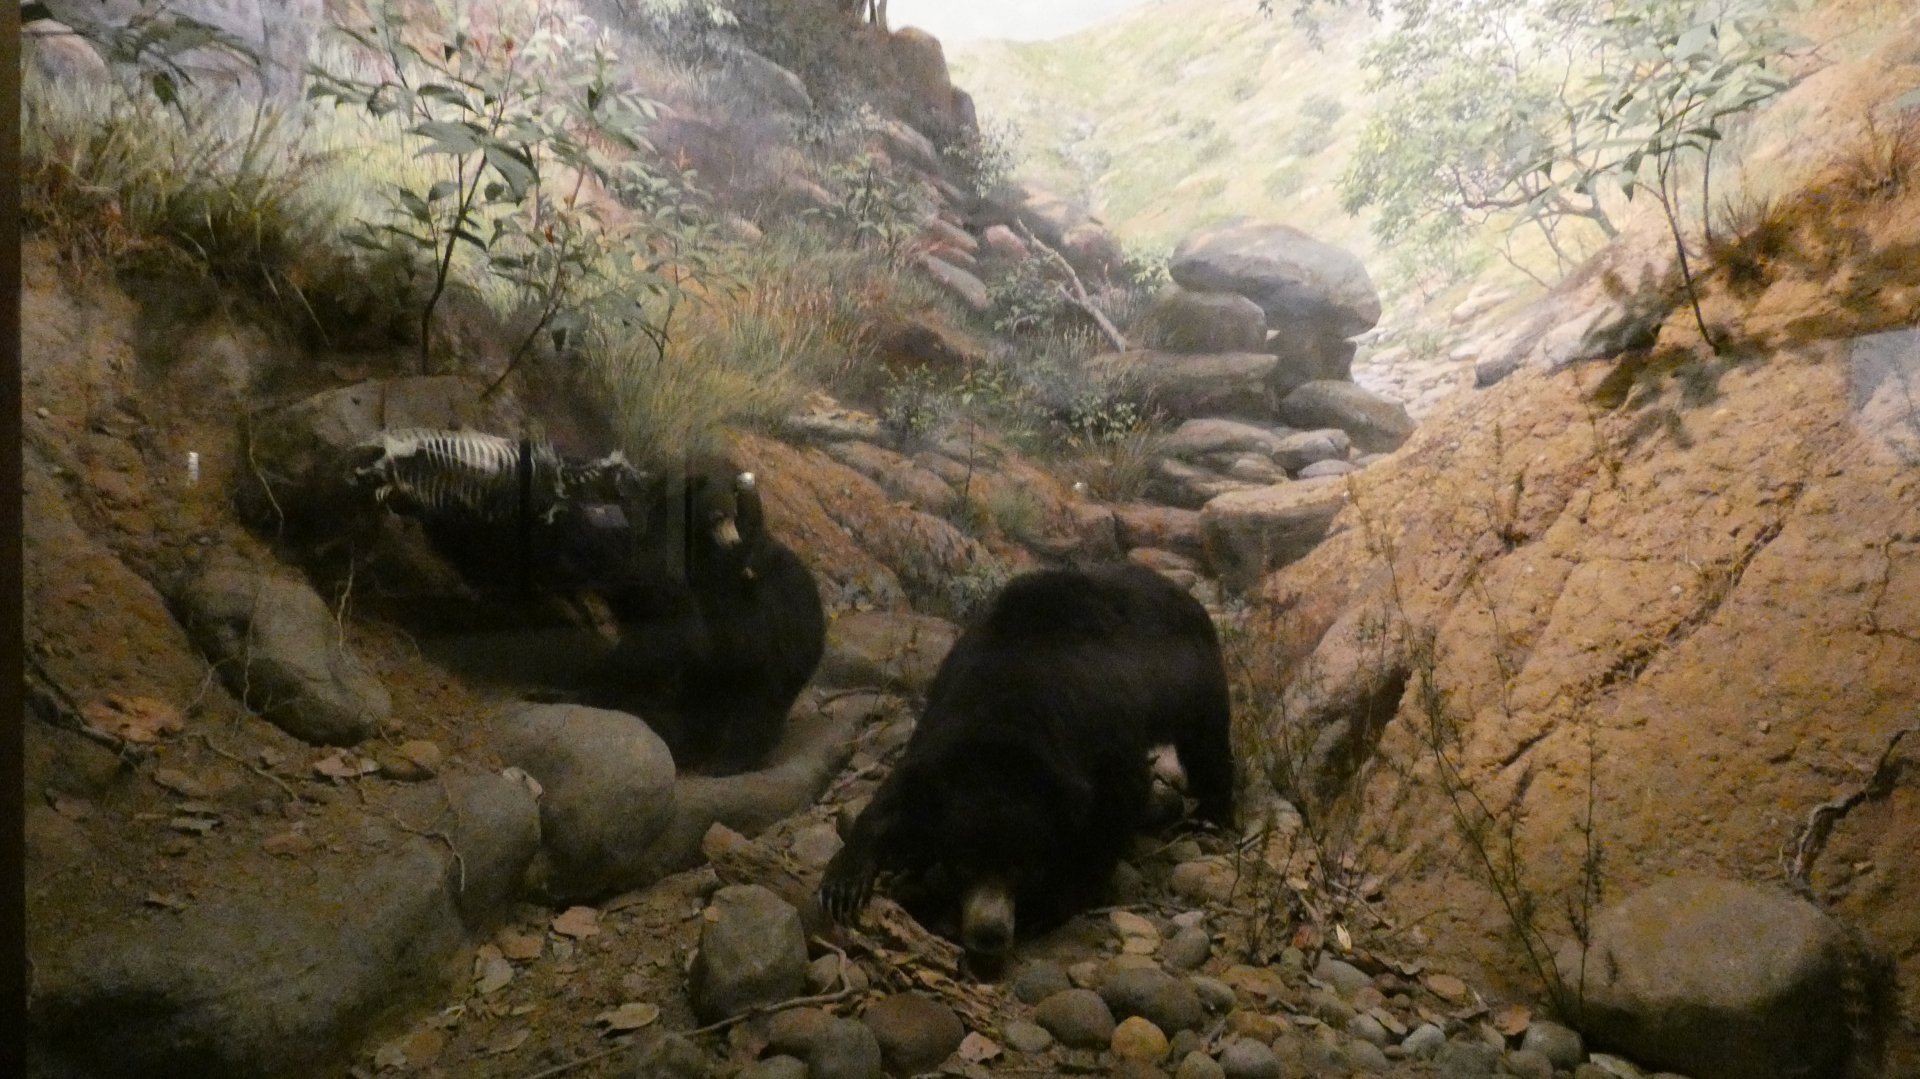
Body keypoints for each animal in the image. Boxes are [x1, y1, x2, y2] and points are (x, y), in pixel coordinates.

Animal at [817, 562, 1235, 970]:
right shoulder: (945, 718)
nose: (989, 934)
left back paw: (1209, 817)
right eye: (964, 865)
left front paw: (1047, 904)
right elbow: (899, 790)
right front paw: (847, 883)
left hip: (1194, 675)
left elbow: (1114, 808)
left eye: (1021, 867)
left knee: (1206, 744)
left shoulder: (1100, 737)